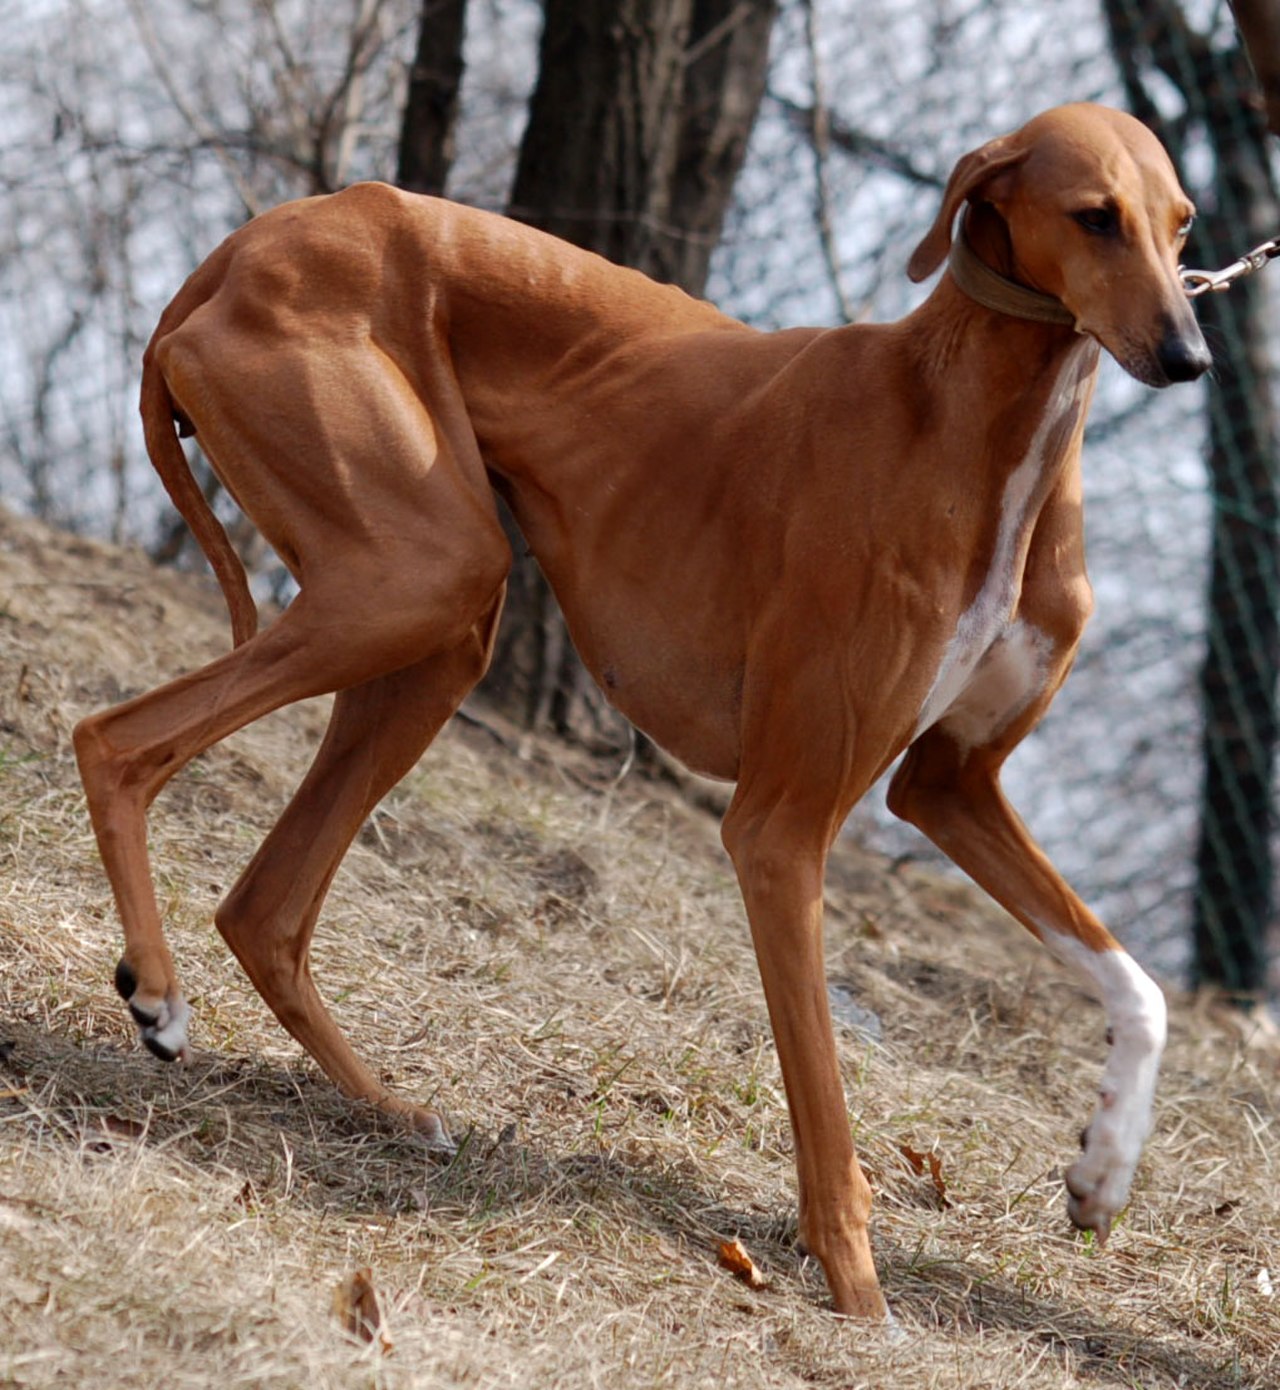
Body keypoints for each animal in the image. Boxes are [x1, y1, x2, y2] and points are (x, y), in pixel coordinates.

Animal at [75, 105, 1206, 1312]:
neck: (974, 421)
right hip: (414, 576)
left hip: (435, 627)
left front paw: (1102, 1169)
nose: (1188, 357)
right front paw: (859, 1303)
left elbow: (1138, 987)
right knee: (117, 741)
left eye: (1181, 223)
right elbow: (826, 1110)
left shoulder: (949, 787)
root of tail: (241, 250)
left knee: (266, 907)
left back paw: (386, 1106)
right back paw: (158, 993)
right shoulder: (780, 828)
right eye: (1094, 217)